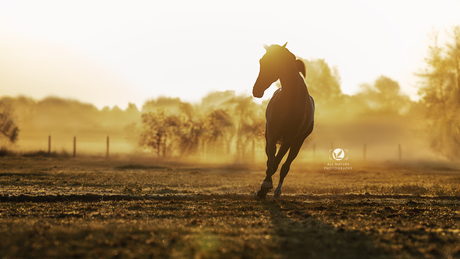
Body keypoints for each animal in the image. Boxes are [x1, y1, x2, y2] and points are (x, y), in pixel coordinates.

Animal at [253, 42, 314, 201]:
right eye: (261, 61)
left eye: (275, 62)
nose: (256, 90)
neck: (290, 98)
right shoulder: (271, 132)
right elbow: (271, 160)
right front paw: (263, 187)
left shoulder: (290, 138)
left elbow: (277, 162)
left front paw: (266, 186)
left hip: (298, 142)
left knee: (285, 166)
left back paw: (276, 192)